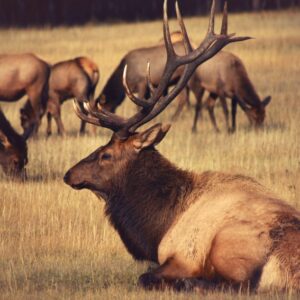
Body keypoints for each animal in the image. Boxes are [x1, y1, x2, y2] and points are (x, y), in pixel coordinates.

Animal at [63, 0, 300, 292]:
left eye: (105, 154)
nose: (69, 174)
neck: (158, 226)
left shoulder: (181, 255)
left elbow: (145, 275)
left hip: (230, 244)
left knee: (236, 285)